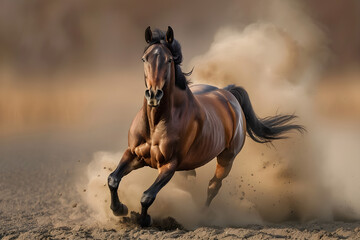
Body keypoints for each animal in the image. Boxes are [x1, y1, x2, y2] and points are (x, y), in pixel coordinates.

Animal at [107, 26, 304, 227]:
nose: (154, 94)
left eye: (168, 60)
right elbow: (113, 179)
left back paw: (202, 215)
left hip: (227, 158)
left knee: (213, 186)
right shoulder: (134, 154)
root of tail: (227, 93)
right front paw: (119, 209)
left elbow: (147, 195)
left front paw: (143, 219)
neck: (156, 123)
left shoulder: (169, 165)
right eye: (144, 59)